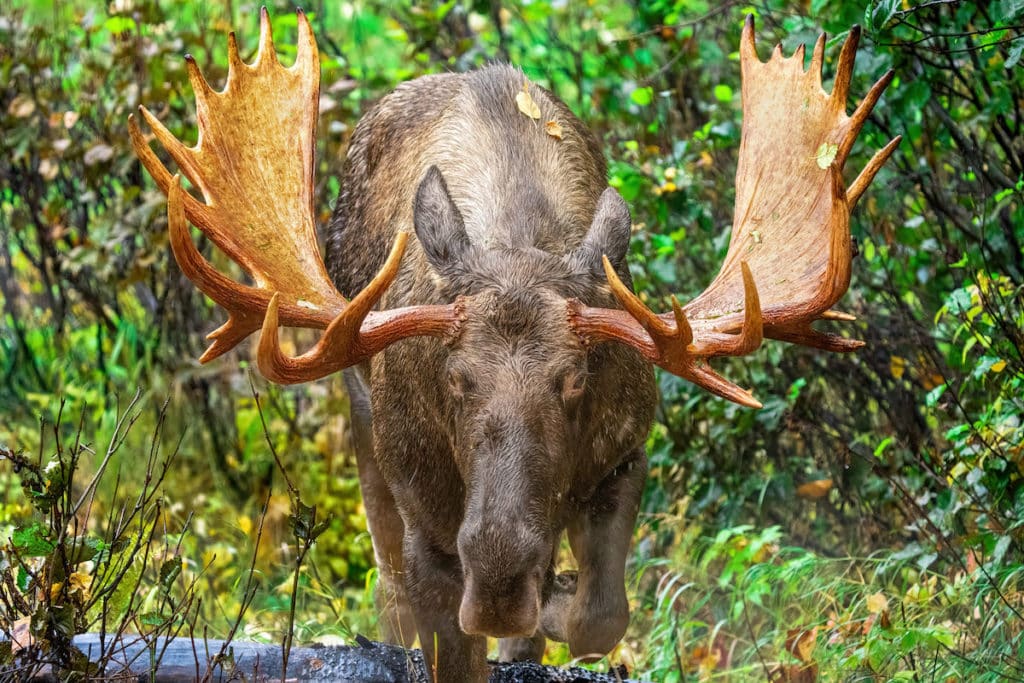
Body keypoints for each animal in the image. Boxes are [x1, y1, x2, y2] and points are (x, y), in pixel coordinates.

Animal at [128, 10, 897, 683]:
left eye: (575, 379)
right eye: (456, 376)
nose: (499, 578)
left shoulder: (626, 452)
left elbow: (600, 615)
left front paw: (553, 598)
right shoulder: (426, 507)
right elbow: (449, 643)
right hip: (361, 414)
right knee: (387, 579)